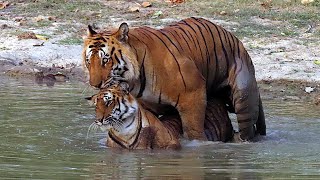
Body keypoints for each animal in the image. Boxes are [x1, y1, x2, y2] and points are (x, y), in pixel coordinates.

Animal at [82, 16, 264, 141]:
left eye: (106, 60)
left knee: (247, 131)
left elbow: (193, 131)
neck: (135, 82)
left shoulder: (193, 94)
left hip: (243, 97)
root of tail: (234, 38)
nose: (94, 84)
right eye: (89, 61)